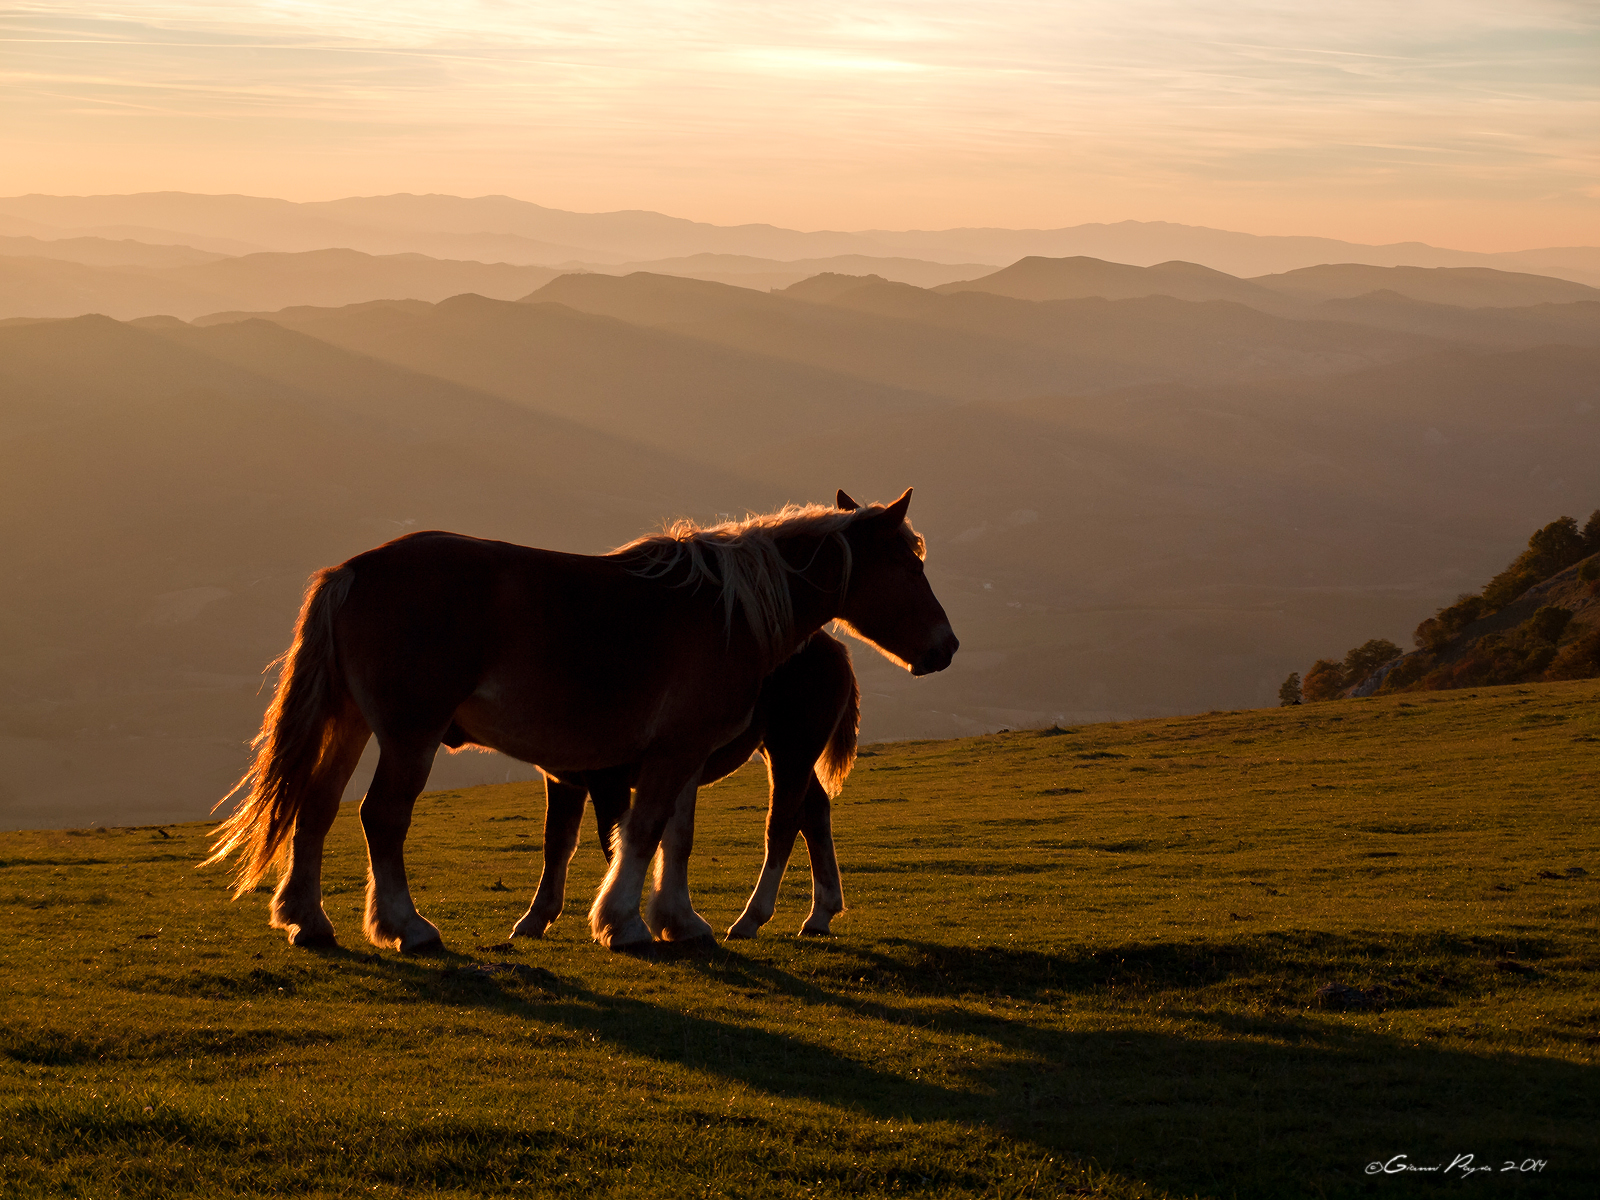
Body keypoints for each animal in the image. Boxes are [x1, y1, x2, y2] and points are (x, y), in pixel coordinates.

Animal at [510, 628, 859, 942]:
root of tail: (833, 645)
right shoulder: (563, 779)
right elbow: (557, 841)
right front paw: (535, 917)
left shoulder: (609, 779)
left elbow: (616, 841)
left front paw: (627, 922)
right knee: (814, 812)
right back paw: (820, 915)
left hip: (790, 750)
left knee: (783, 824)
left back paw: (750, 920)